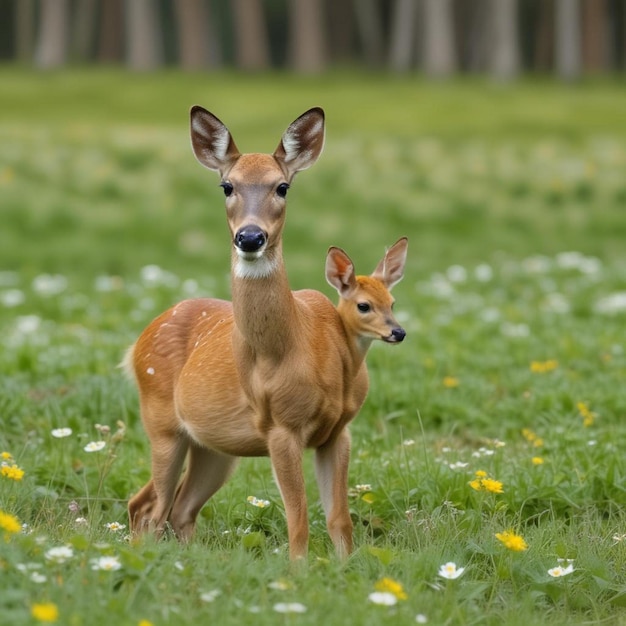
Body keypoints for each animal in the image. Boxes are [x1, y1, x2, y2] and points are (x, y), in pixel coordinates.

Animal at [127, 105, 410, 560]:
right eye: (227, 185)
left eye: (282, 187)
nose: (250, 236)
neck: (294, 345)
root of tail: (137, 343)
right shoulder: (280, 425)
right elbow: (298, 521)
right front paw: (299, 571)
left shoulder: (340, 430)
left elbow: (339, 519)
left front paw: (346, 568)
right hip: (162, 423)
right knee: (152, 508)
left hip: (214, 446)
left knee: (172, 507)